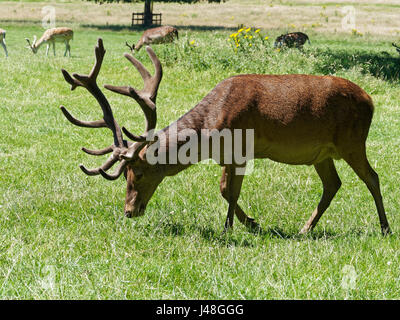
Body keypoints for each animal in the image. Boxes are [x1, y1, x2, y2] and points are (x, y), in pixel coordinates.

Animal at [59, 38, 390, 236]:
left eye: (138, 173)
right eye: (125, 173)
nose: (129, 211)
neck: (208, 134)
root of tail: (370, 101)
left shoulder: (241, 148)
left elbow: (231, 191)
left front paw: (229, 227)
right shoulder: (227, 155)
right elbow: (224, 189)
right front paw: (251, 223)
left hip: (352, 141)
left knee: (372, 177)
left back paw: (385, 227)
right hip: (322, 154)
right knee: (333, 184)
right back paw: (305, 229)